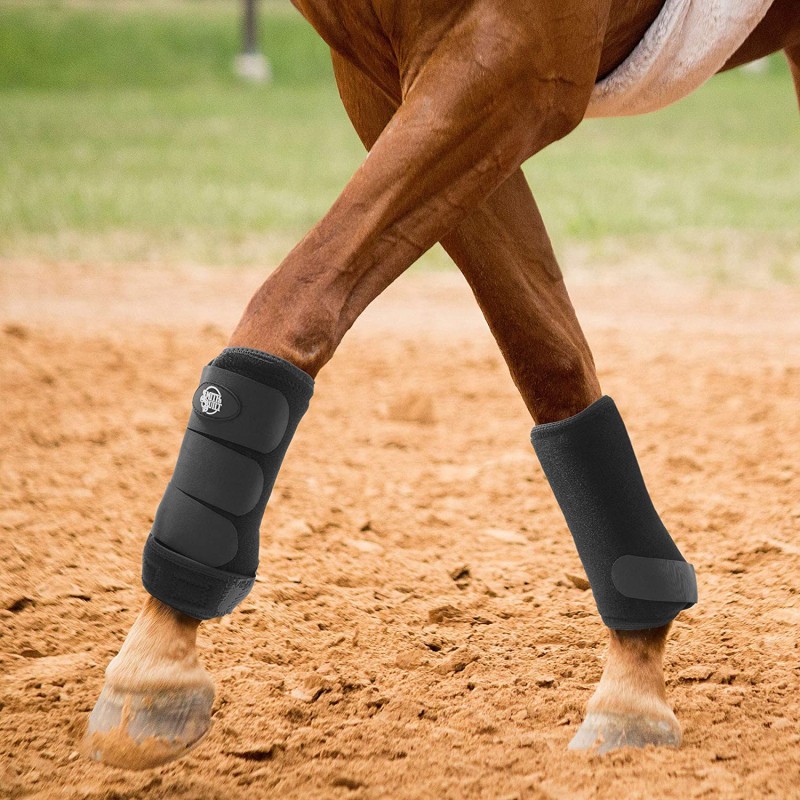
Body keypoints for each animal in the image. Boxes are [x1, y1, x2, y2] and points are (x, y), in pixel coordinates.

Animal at [85, 0, 800, 770]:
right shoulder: (388, 81)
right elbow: (545, 352)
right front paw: (634, 677)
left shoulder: (514, 62)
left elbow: (298, 295)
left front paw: (156, 663)